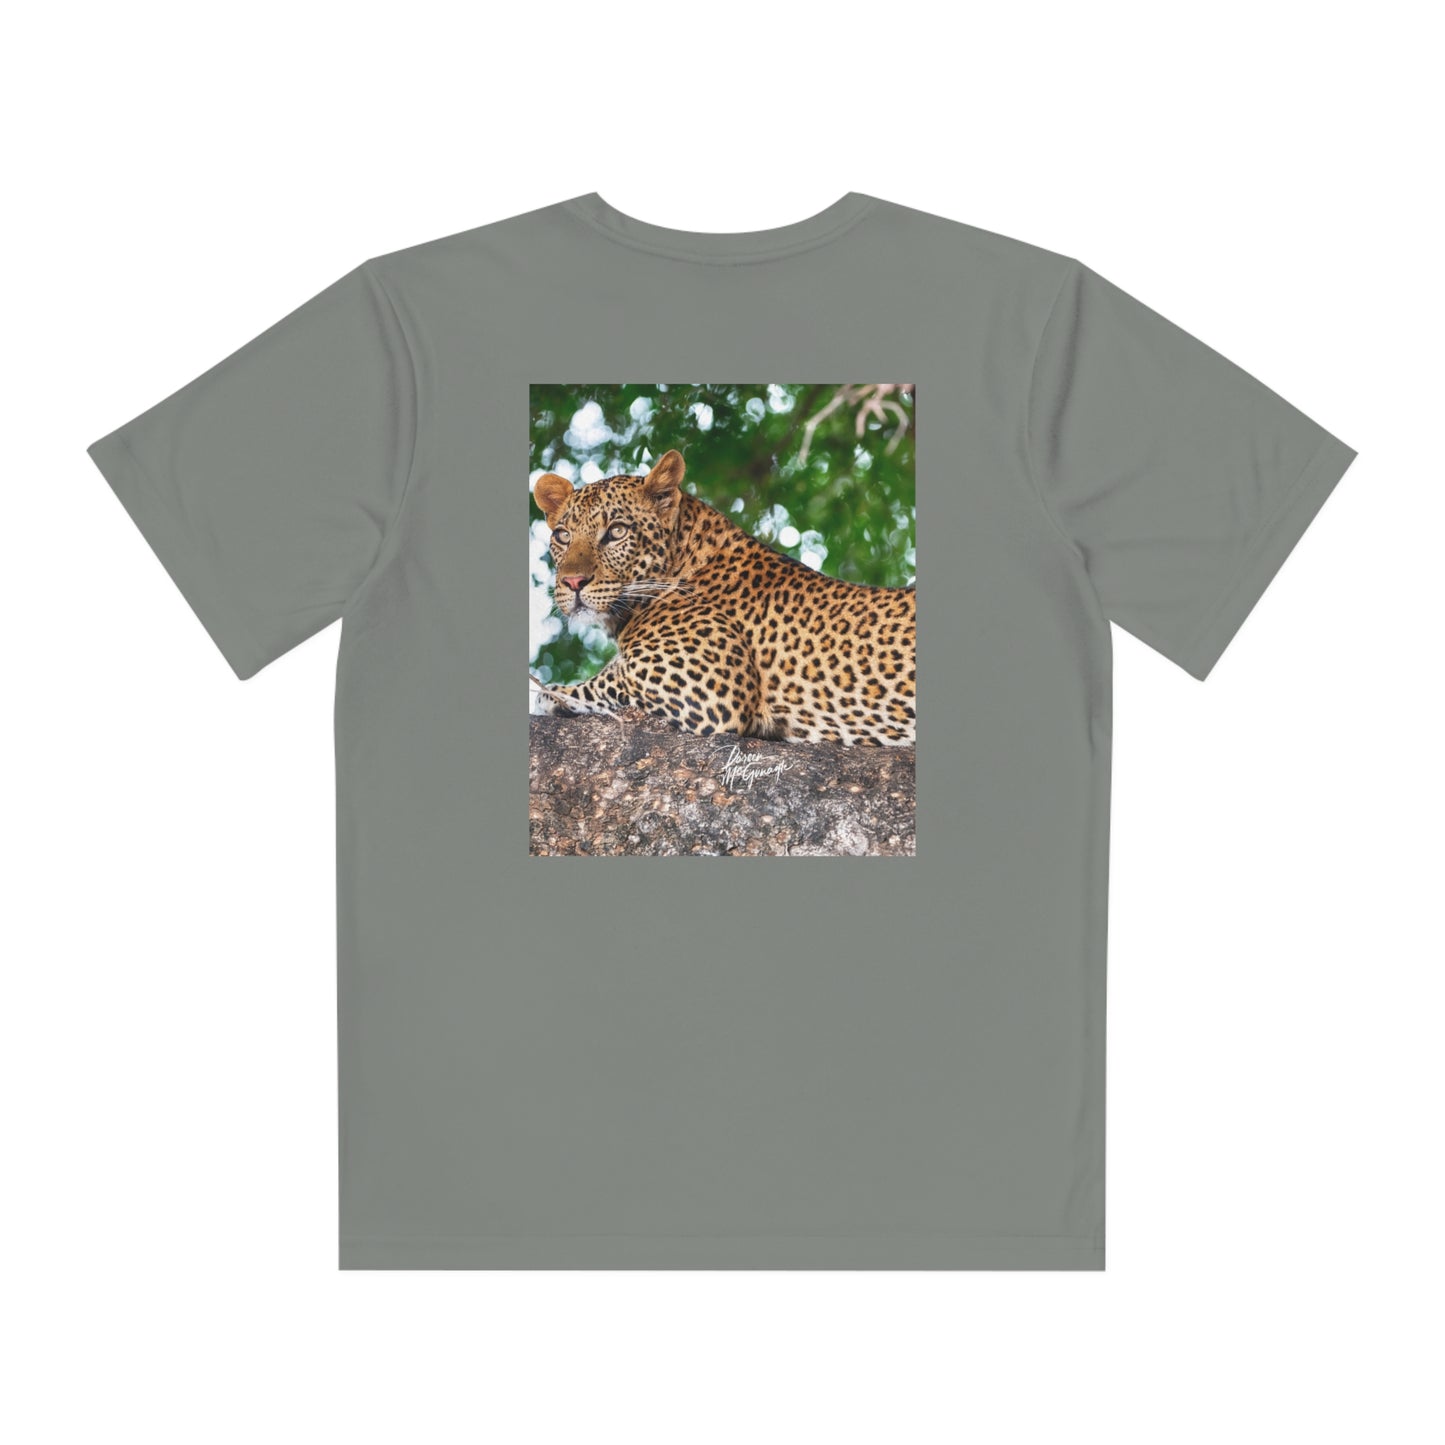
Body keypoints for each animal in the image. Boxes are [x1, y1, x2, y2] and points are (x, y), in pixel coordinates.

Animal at [531, 450, 915, 746]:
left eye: (617, 532)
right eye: (563, 536)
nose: (573, 582)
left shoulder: (703, 688)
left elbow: (608, 680)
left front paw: (553, 693)